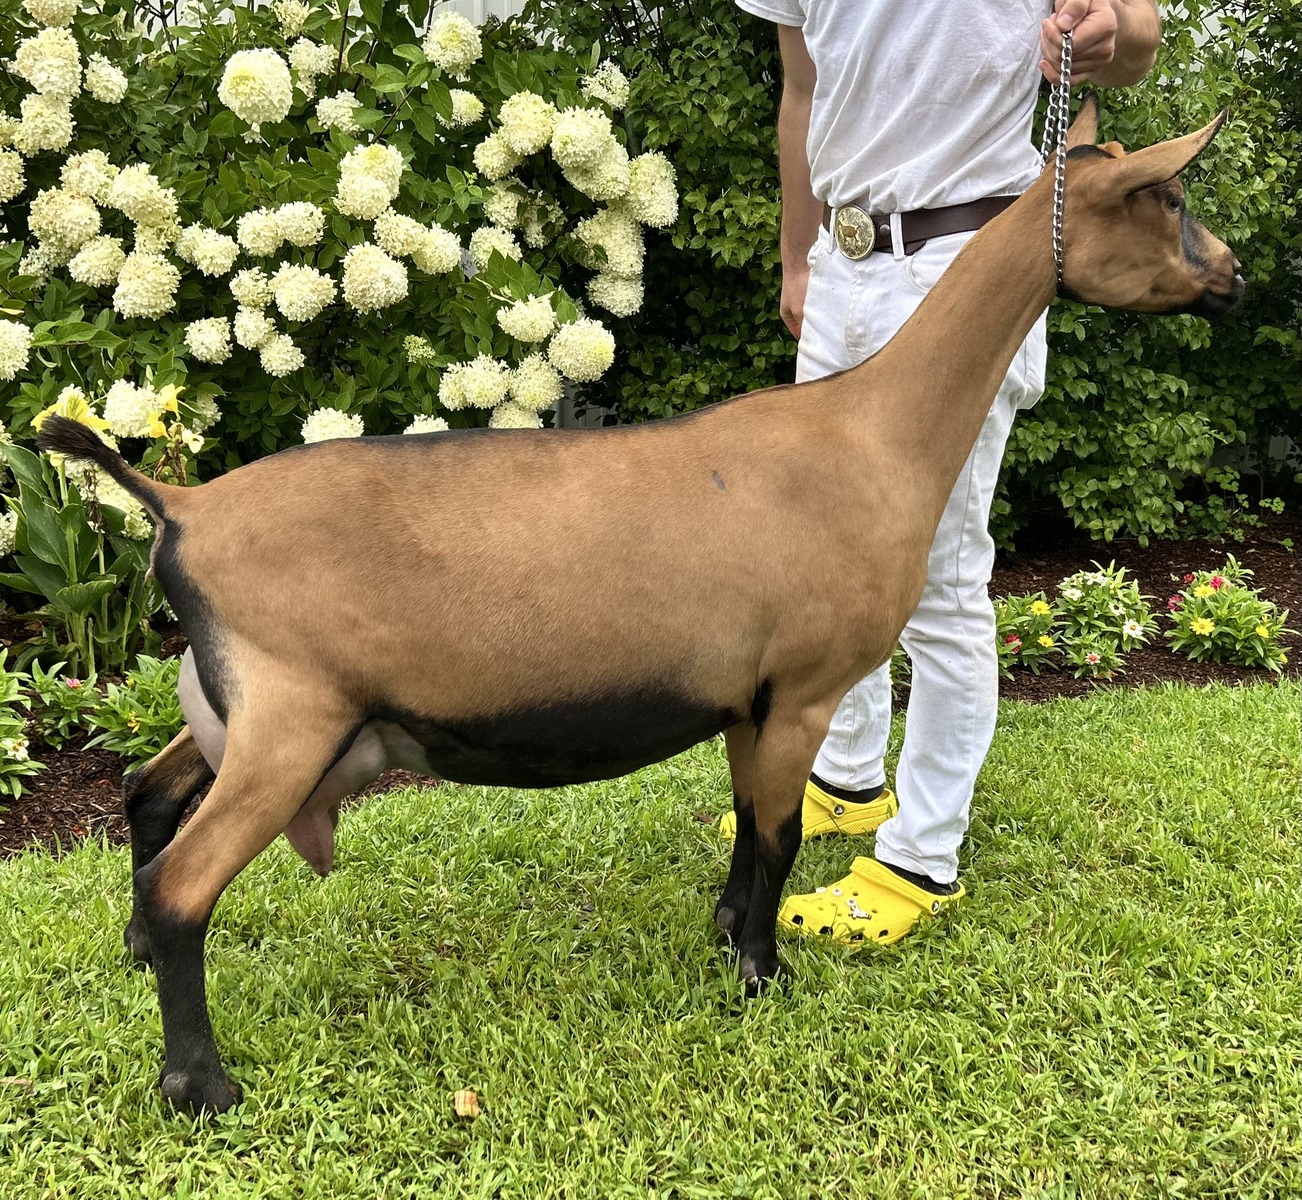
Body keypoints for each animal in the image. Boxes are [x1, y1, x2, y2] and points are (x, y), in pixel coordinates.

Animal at [38, 98, 1243, 1115]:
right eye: (1170, 198)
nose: (1232, 275)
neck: (873, 434)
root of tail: (181, 509)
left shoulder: (749, 699)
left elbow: (754, 830)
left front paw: (726, 933)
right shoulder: (802, 688)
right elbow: (782, 835)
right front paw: (761, 975)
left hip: (235, 709)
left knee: (147, 798)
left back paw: (136, 953)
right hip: (293, 719)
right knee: (186, 884)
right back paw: (200, 1086)